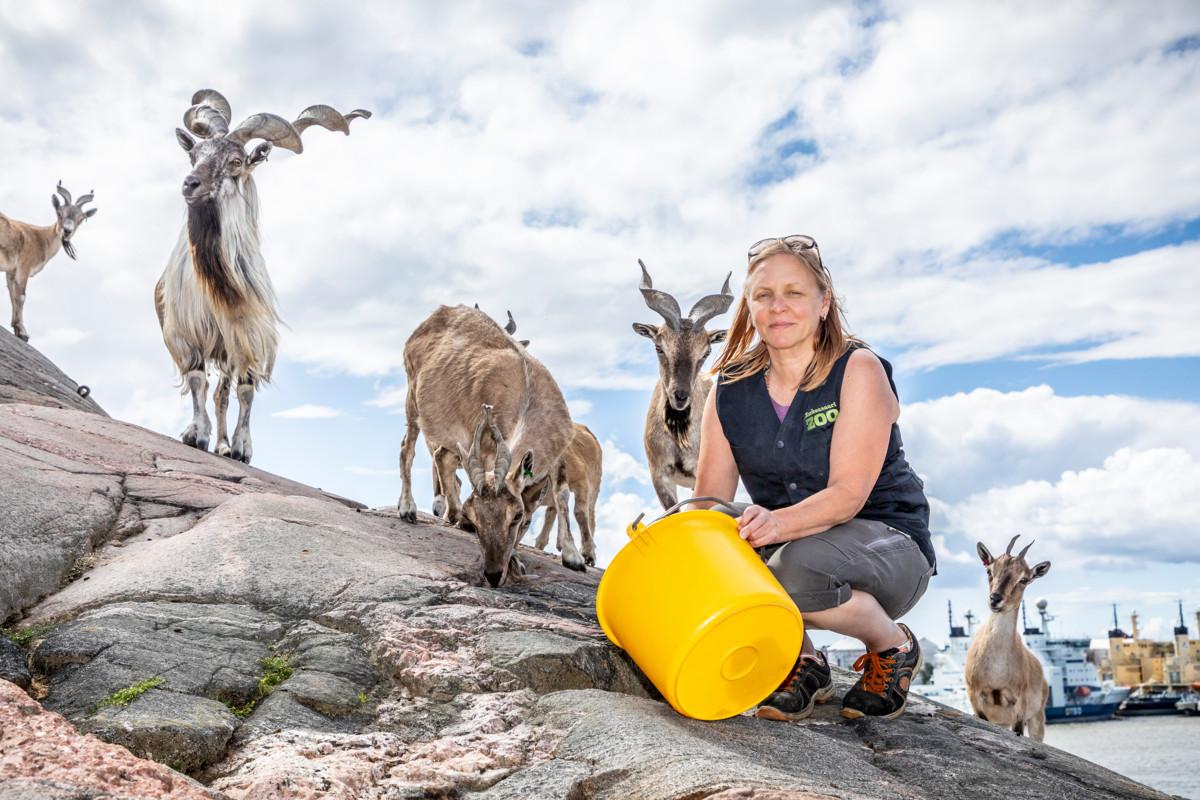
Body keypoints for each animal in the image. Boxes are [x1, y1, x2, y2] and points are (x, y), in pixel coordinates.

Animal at [0, 181, 97, 340]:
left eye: (81, 219)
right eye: (59, 213)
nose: (67, 231)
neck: (41, 239)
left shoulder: (12, 271)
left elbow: (12, 294)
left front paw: (16, 327)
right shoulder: (24, 267)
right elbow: (21, 296)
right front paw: (23, 332)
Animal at [156, 89, 369, 462]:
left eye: (236, 162)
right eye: (194, 155)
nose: (189, 184)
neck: (217, 287)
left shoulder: (248, 338)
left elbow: (245, 390)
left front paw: (241, 448)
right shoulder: (184, 334)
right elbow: (197, 380)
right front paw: (196, 434)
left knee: (223, 394)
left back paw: (223, 445)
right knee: (213, 390)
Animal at [398, 303, 576, 585]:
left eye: (518, 516)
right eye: (475, 516)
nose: (493, 575)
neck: (530, 398)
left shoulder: (559, 453)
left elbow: (562, 494)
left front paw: (573, 557)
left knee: (441, 457)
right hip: (412, 398)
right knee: (408, 449)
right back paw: (408, 509)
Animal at [964, 534, 1051, 743]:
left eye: (1024, 579)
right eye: (989, 570)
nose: (995, 599)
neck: (996, 669)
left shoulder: (1019, 703)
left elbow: (1018, 730)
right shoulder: (974, 695)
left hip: (1038, 718)